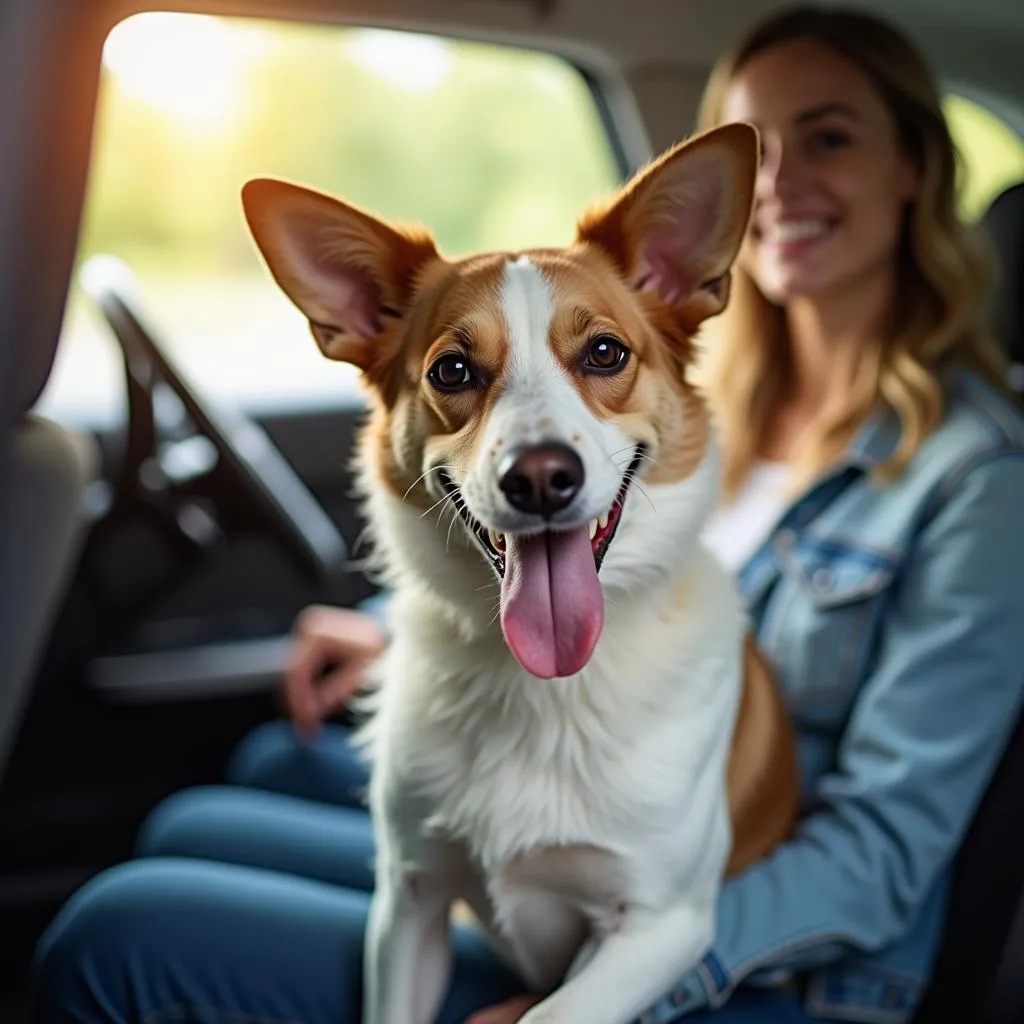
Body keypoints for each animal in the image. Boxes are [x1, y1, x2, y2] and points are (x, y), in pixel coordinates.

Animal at [241, 123, 798, 1024]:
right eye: (452, 371)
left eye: (605, 352)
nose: (539, 478)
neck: (546, 688)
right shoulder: (411, 903)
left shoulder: (663, 926)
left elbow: (550, 1011)